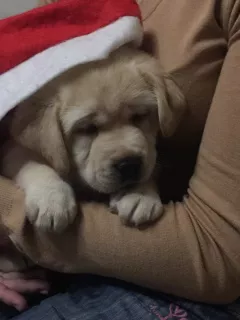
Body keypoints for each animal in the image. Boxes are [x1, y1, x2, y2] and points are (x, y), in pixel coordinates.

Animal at [0, 45, 186, 231]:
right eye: (87, 128)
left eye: (139, 116)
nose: (129, 164)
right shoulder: (12, 149)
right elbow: (34, 163)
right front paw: (52, 198)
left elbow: (152, 165)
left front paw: (140, 194)